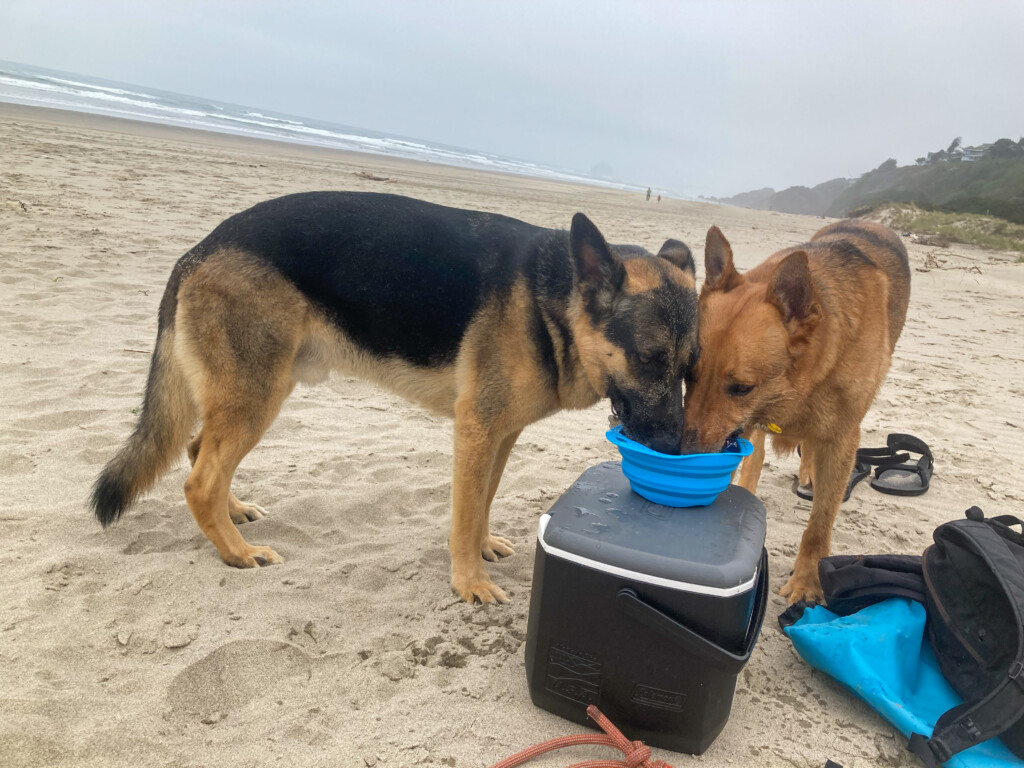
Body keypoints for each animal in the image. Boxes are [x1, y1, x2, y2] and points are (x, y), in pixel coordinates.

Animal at [684, 219, 909, 606]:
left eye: (741, 388)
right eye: (688, 375)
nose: (679, 454)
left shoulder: (841, 439)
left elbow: (819, 523)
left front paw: (807, 581)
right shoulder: (743, 425)